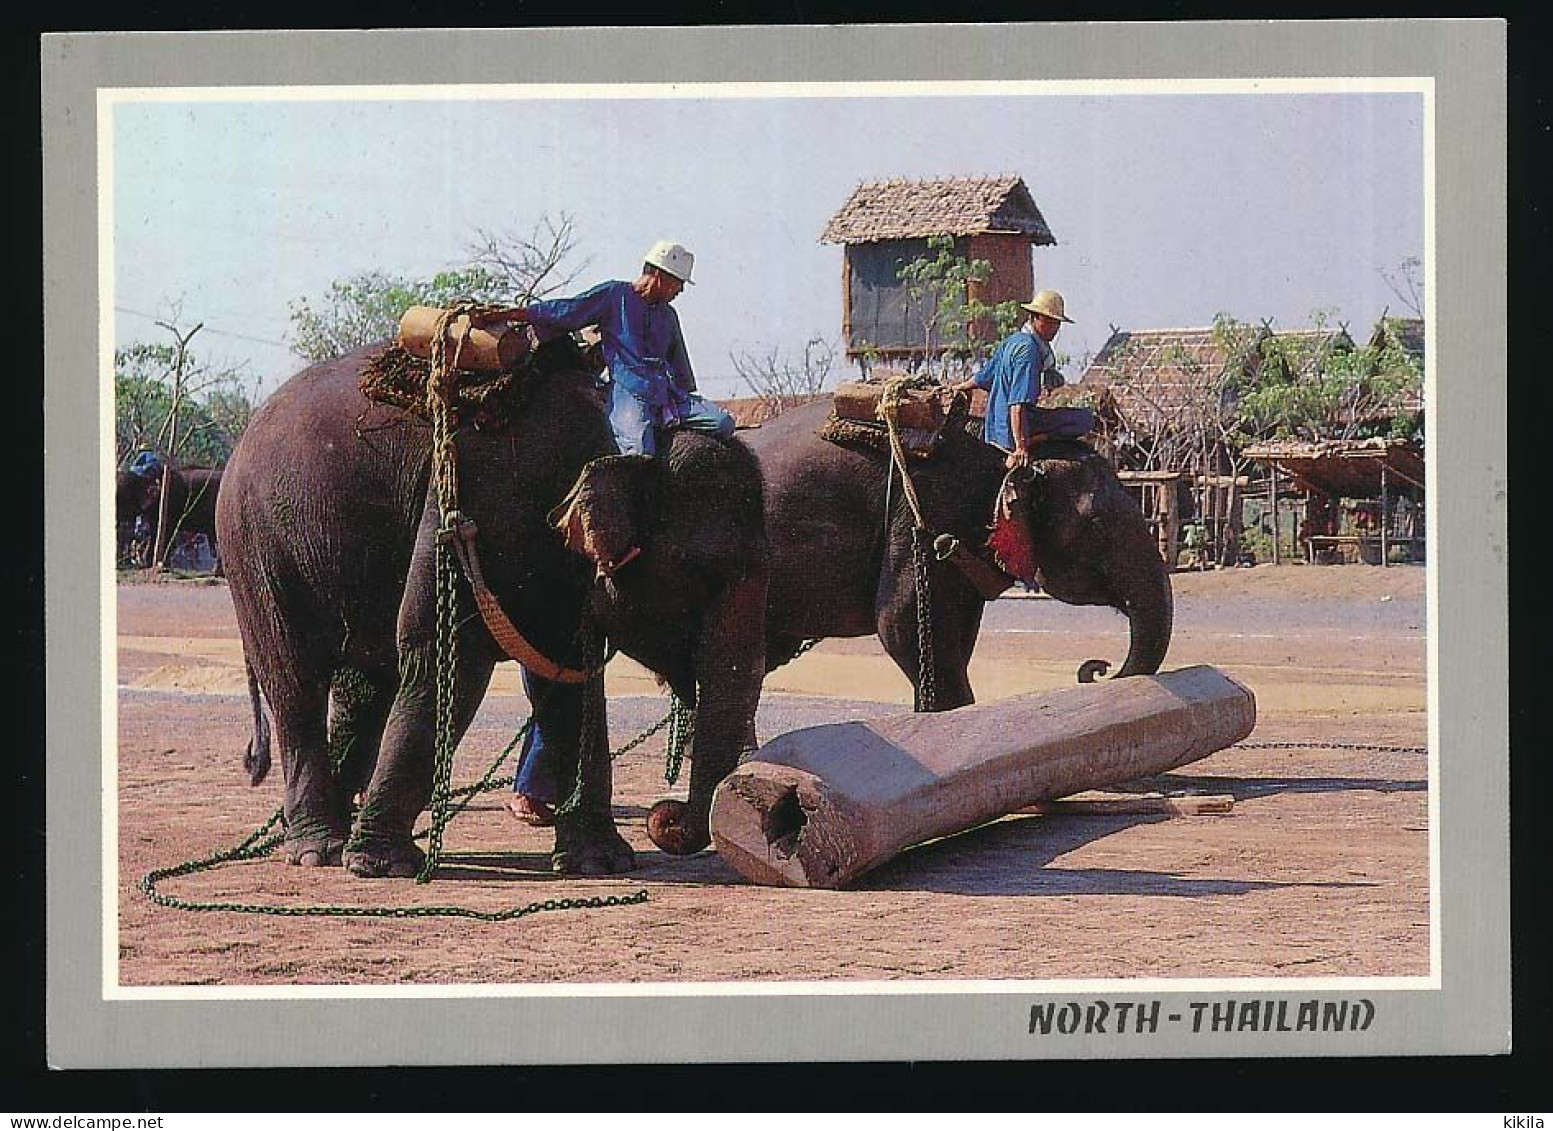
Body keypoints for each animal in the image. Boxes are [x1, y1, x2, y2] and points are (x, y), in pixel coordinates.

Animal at [215, 330, 773, 876]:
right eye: (706, 579)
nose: (667, 815)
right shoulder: (477, 498)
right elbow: (447, 654)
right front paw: (381, 865)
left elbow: (566, 676)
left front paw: (600, 863)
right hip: (257, 552)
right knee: (296, 683)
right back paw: (322, 849)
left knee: (365, 688)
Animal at [745, 397, 1167, 708]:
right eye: (1096, 528)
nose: (1097, 668)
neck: (999, 454)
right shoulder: (926, 516)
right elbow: (901, 625)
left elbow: (950, 637)